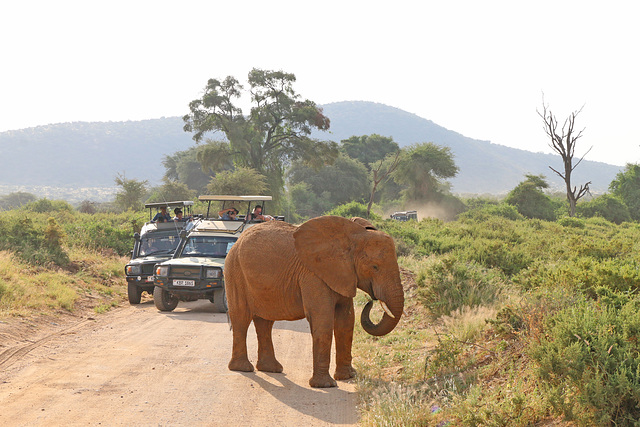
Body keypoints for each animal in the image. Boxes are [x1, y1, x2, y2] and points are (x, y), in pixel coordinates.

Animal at [224, 216, 404, 390]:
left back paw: (271, 368)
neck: (352, 236)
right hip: (234, 270)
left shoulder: (344, 275)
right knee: (241, 317)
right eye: (375, 267)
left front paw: (347, 376)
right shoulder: (314, 275)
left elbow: (346, 322)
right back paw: (243, 368)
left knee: (265, 322)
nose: (371, 301)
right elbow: (323, 320)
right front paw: (326, 385)